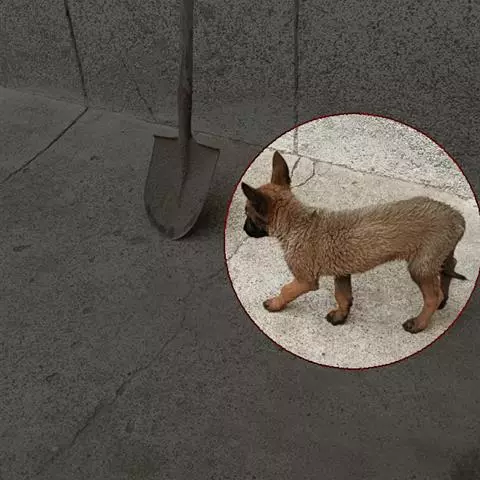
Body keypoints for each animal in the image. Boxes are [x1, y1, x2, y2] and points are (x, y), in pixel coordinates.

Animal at [240, 151, 467, 333]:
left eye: (247, 214)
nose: (244, 230)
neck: (298, 224)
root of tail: (457, 218)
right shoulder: (341, 272)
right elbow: (343, 296)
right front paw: (341, 316)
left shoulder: (305, 279)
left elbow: (286, 290)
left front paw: (275, 304)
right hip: (436, 256)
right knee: (448, 269)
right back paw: (444, 299)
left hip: (420, 266)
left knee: (432, 296)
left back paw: (419, 323)